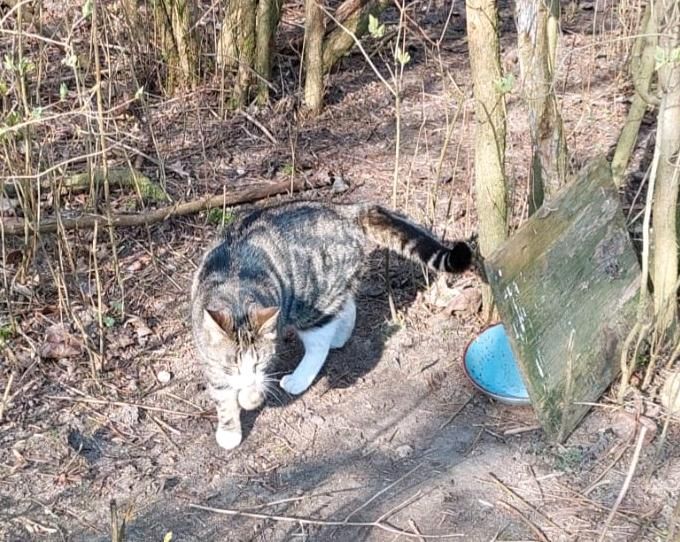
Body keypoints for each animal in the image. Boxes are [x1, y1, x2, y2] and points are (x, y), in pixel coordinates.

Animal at [191, 201, 472, 450]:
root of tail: (345, 210)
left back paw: (301, 375)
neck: (235, 292)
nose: (249, 378)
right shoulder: (209, 357)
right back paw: (341, 334)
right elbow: (222, 394)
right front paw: (230, 427)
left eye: (258, 362)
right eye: (232, 365)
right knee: (348, 304)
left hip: (311, 301)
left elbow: (254, 384)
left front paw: (249, 397)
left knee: (320, 339)